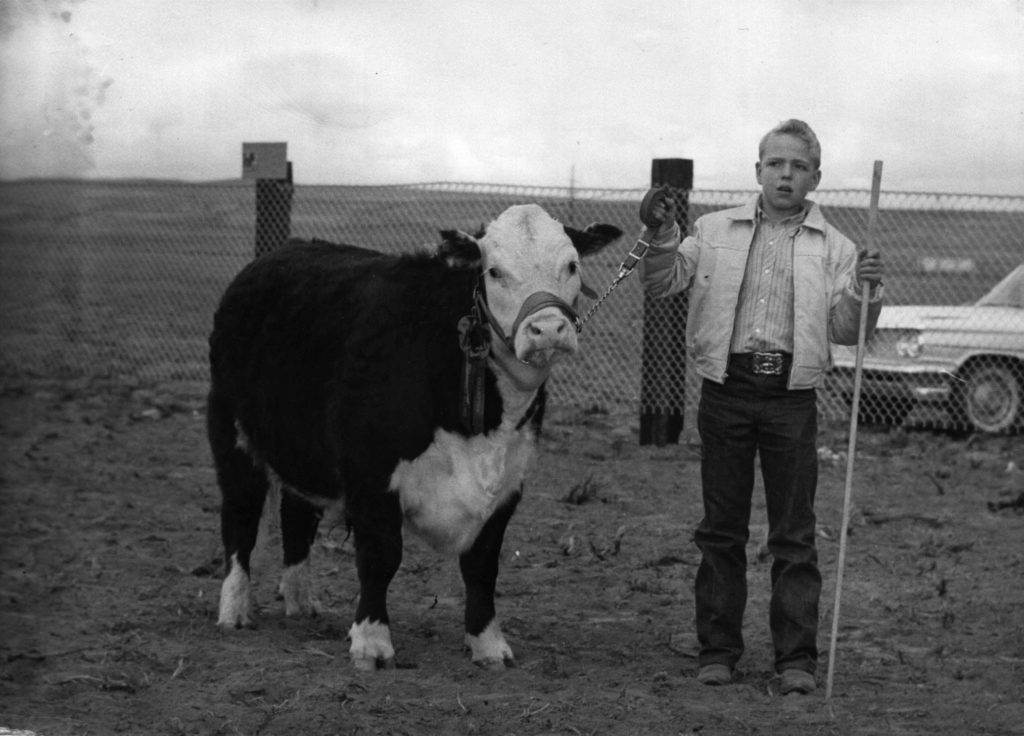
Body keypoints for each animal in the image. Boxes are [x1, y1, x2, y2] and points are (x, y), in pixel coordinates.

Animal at [207, 204, 618, 671]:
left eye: (572, 265)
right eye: (494, 271)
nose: (547, 330)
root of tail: (276, 254)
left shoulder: (509, 483)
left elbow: (482, 566)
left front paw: (488, 644)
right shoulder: (371, 475)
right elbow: (381, 556)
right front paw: (371, 641)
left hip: (302, 450)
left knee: (297, 516)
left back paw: (300, 600)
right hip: (232, 433)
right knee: (240, 517)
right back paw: (235, 609)